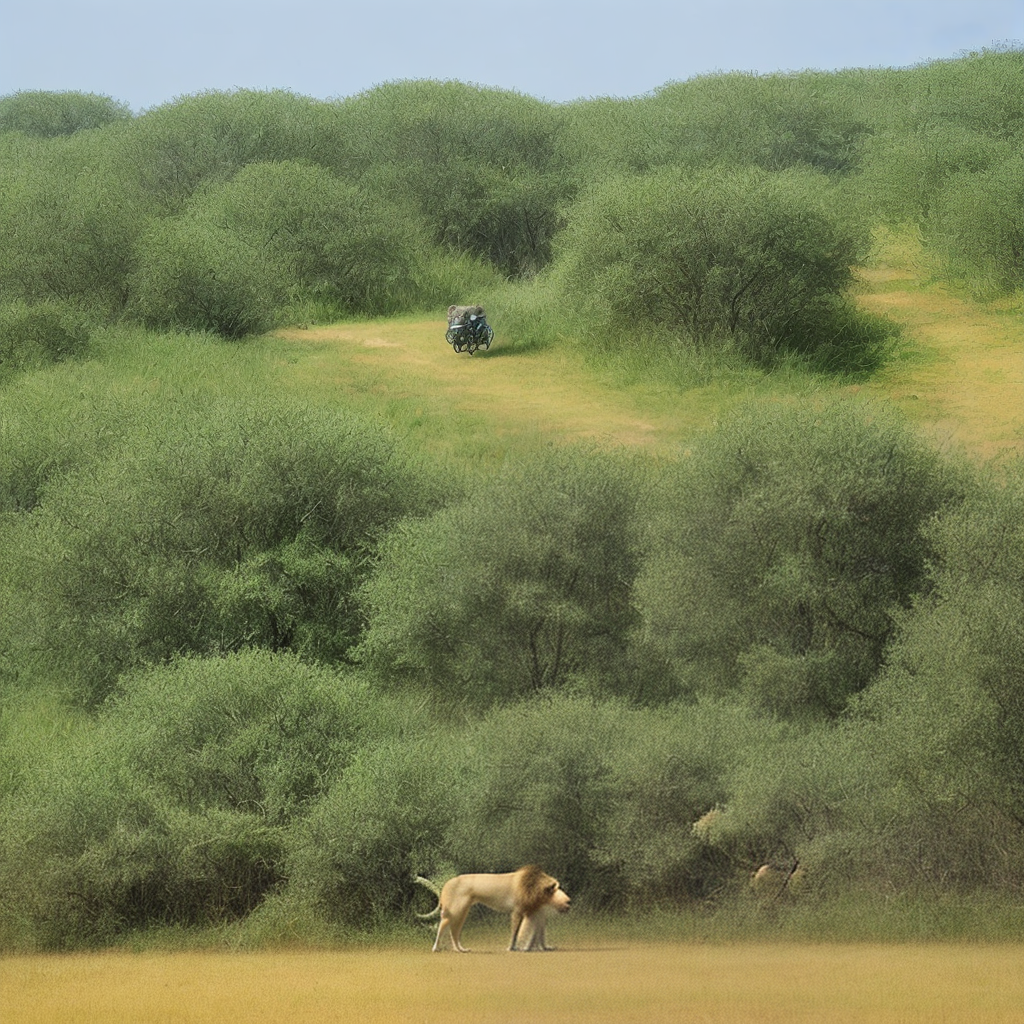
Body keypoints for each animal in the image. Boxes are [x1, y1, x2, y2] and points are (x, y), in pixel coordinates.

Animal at [414, 865, 570, 952]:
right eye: (555, 889)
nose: (569, 902)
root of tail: (447, 883)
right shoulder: (518, 911)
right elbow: (516, 932)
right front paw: (512, 948)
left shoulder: (536, 913)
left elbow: (540, 934)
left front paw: (544, 948)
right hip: (454, 911)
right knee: (443, 927)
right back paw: (436, 948)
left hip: (462, 912)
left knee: (454, 932)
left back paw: (461, 950)